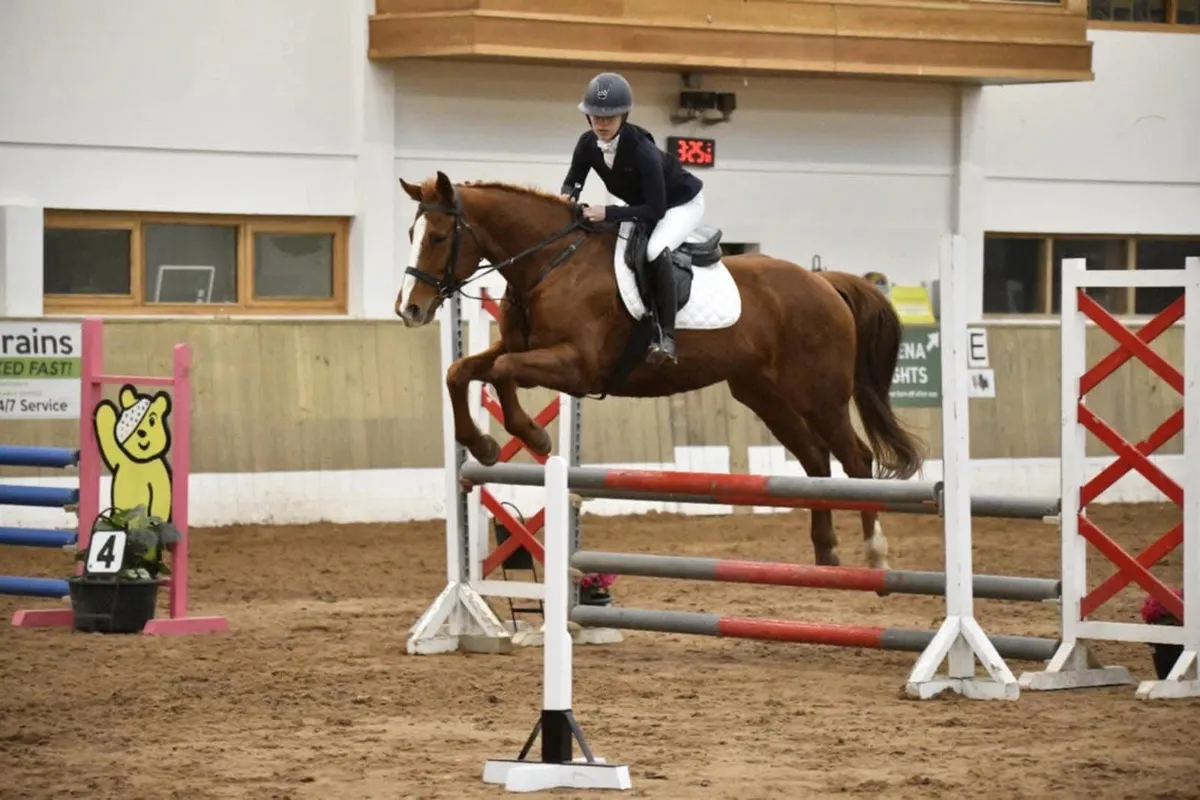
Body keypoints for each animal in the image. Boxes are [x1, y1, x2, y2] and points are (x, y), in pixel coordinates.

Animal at [395, 171, 926, 569]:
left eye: (439, 237)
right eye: (411, 236)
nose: (410, 309)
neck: (551, 263)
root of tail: (824, 281)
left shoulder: (576, 366)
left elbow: (503, 371)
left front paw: (534, 436)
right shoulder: (522, 348)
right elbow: (461, 371)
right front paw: (484, 445)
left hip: (819, 395)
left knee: (855, 459)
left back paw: (874, 552)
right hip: (765, 395)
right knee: (816, 462)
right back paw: (826, 554)